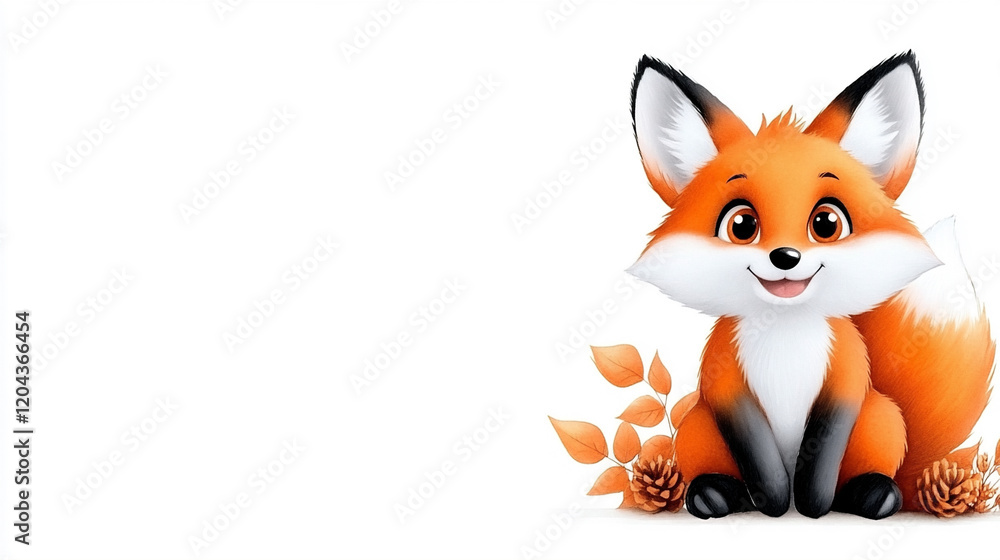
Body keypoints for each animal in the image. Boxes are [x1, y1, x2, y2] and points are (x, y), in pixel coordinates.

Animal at [626, 52, 995, 519]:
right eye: (741, 225)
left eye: (826, 223)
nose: (785, 257)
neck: (787, 332)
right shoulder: (724, 379)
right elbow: (758, 454)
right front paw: (772, 501)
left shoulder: (847, 374)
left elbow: (822, 451)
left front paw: (813, 504)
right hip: (697, 425)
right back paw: (717, 494)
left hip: (882, 418)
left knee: (871, 475)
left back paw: (869, 494)